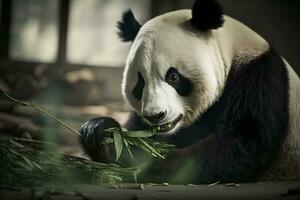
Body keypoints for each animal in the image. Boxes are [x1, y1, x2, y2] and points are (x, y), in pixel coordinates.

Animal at [79, 0, 300, 184]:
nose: (155, 116)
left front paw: (150, 167)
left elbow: (243, 142)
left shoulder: (258, 77)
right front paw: (102, 135)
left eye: (173, 77)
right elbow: (137, 133)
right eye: (140, 83)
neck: (229, 51)